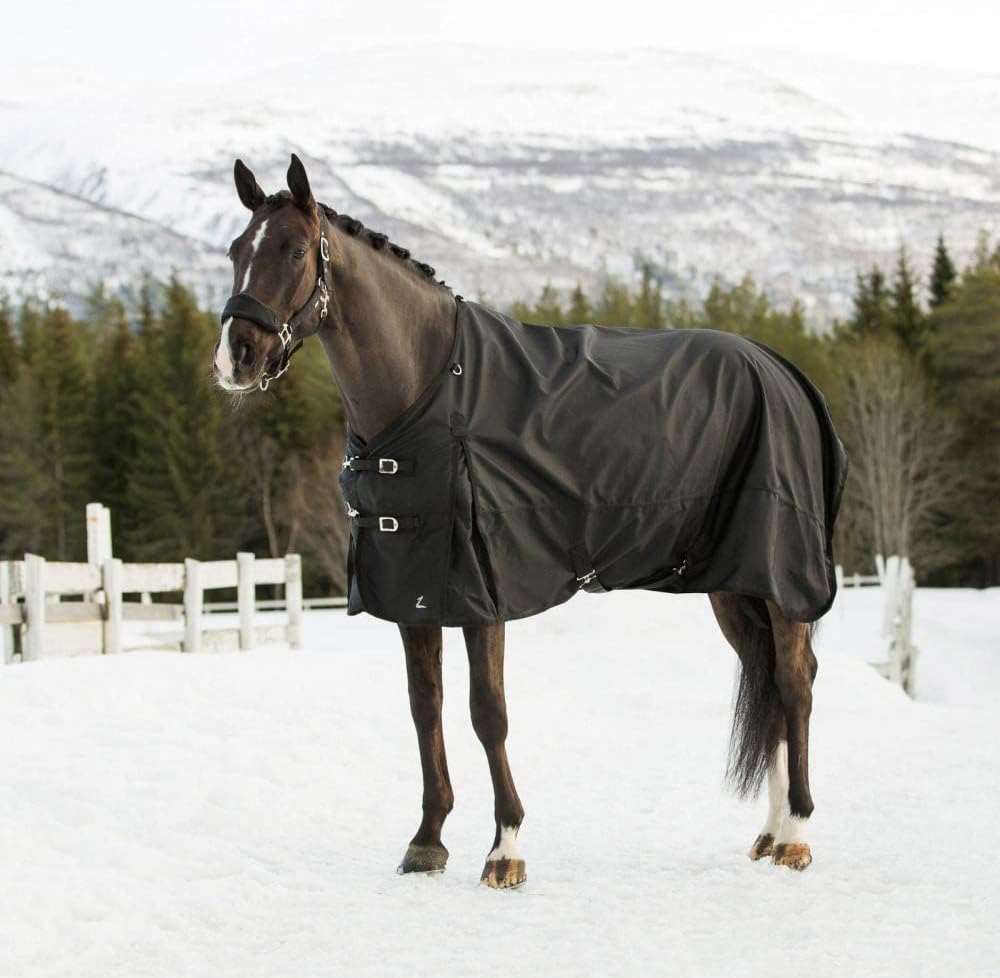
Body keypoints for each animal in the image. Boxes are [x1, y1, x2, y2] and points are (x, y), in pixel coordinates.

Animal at [213, 154, 846, 887]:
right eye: (236, 251)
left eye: (292, 250)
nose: (235, 356)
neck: (431, 387)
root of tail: (784, 371)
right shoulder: (413, 593)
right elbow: (424, 708)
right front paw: (427, 841)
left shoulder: (481, 591)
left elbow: (487, 713)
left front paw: (504, 849)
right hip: (735, 583)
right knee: (767, 679)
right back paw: (770, 833)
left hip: (780, 576)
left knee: (795, 683)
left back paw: (797, 835)